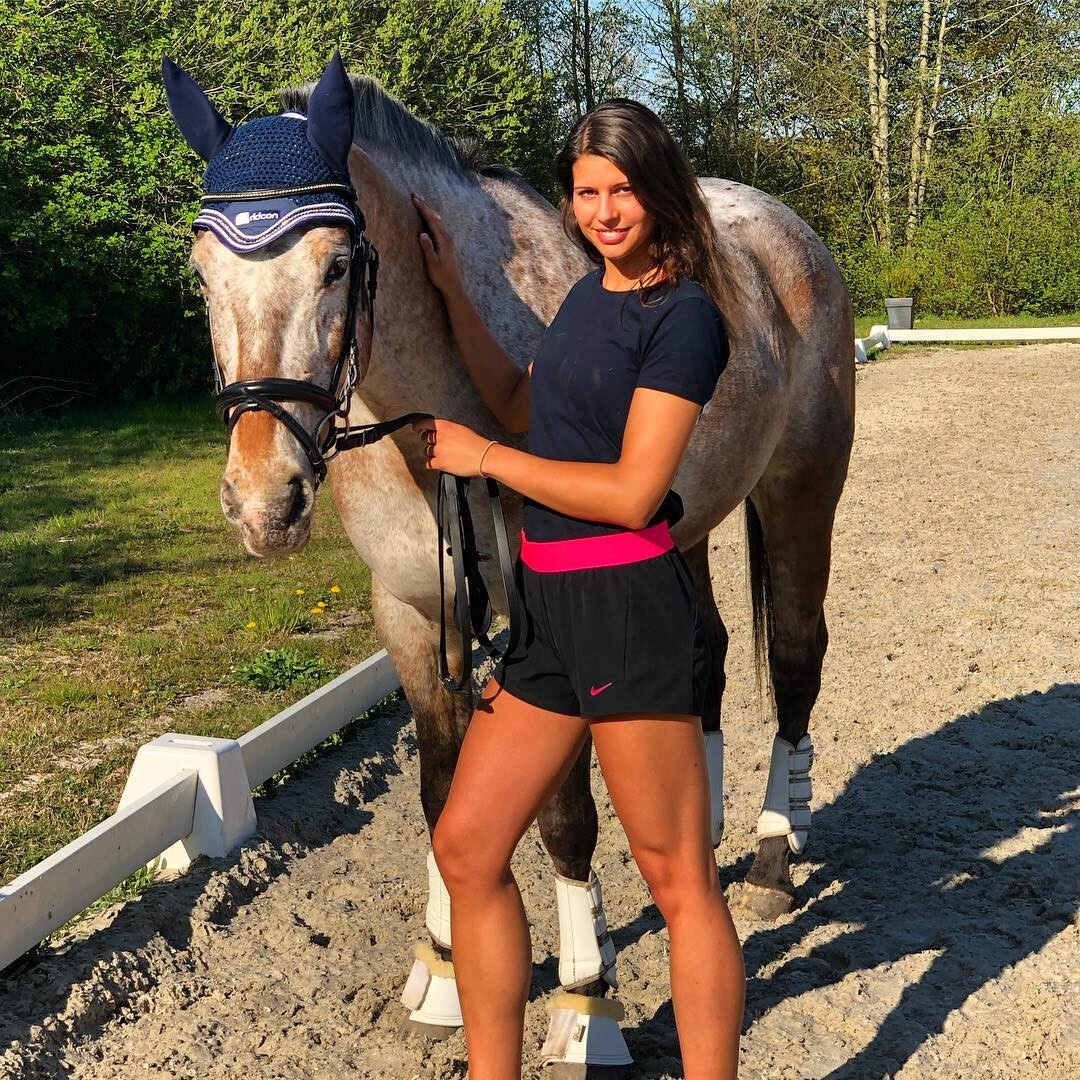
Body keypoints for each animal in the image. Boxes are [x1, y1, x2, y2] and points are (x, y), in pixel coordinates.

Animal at [164, 53, 854, 1072]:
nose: (264, 501)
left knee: (798, 659)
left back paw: (771, 858)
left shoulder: (547, 624)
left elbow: (565, 815)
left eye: (338, 263)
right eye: (203, 272)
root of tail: (784, 229)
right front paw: (446, 964)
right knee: (712, 654)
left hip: (801, 494)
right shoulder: (414, 615)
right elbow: (440, 791)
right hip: (682, 530)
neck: (428, 413)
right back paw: (706, 828)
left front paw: (584, 999)